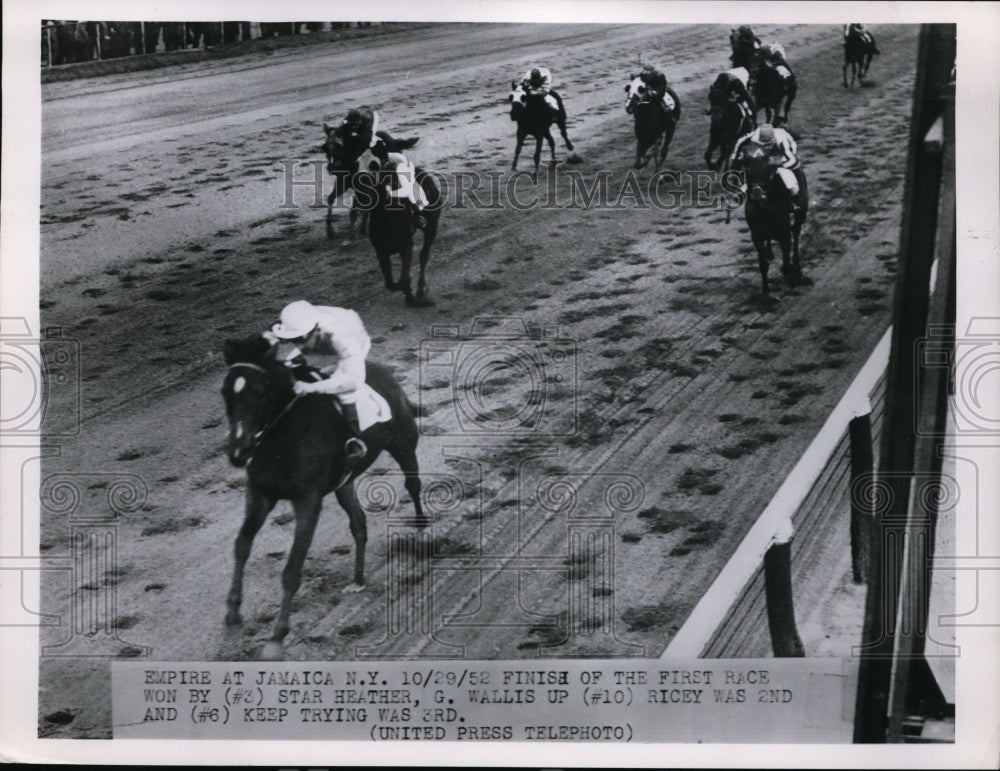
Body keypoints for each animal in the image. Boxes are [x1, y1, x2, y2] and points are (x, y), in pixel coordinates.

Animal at [221, 334, 428, 660]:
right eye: (226, 392)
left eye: (259, 393)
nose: (239, 452)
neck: (282, 437)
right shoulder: (260, 493)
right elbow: (242, 545)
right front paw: (233, 610)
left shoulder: (308, 500)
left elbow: (292, 569)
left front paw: (277, 636)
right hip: (344, 484)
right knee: (358, 523)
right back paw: (357, 580)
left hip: (403, 444)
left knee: (413, 485)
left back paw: (420, 528)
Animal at [316, 109, 418, 238]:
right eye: (325, 147)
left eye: (339, 145)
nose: (331, 167)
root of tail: (394, 141)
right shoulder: (343, 183)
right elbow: (330, 198)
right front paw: (330, 231)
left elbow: (356, 209)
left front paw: (352, 232)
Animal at [356, 154, 442, 308]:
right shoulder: (381, 252)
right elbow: (391, 284)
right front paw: (409, 295)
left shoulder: (406, 247)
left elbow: (403, 278)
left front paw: (414, 297)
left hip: (432, 226)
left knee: (424, 255)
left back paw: (420, 289)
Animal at [740, 149, 808, 296]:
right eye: (747, 171)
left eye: (767, 170)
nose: (757, 192)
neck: (764, 207)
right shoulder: (757, 236)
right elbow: (763, 264)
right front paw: (765, 289)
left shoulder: (785, 234)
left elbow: (786, 267)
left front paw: (791, 275)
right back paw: (770, 253)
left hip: (801, 213)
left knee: (796, 232)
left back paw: (796, 261)